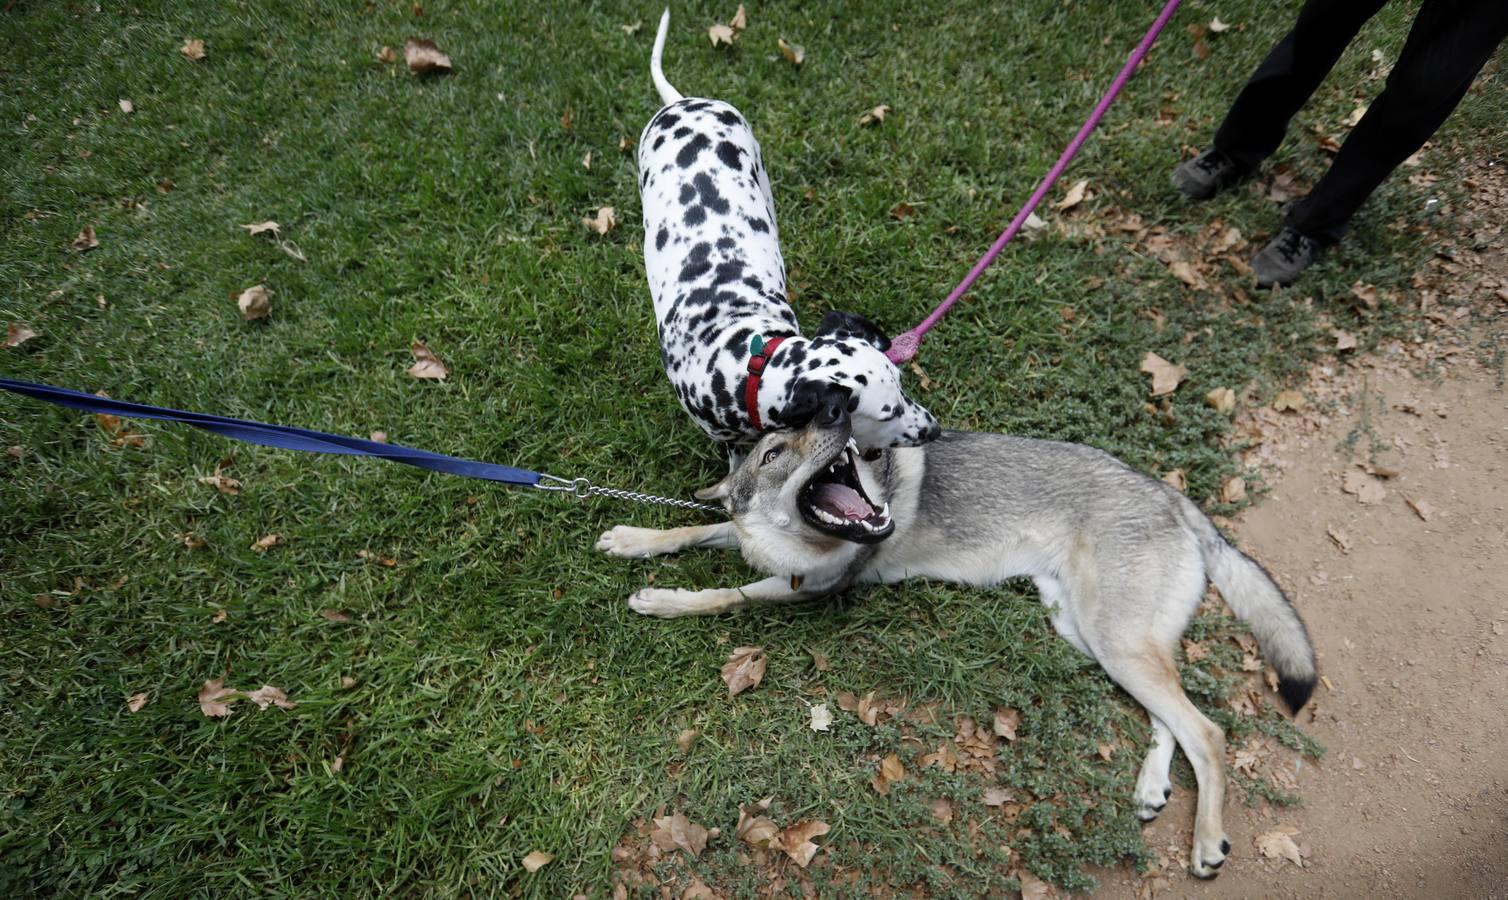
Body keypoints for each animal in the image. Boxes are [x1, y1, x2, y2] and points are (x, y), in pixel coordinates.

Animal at [594, 397, 1314, 874]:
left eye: (797, 439)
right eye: (774, 450)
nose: (835, 416)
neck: (798, 542)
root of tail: (1175, 498)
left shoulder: (808, 588)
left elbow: (723, 595)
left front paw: (661, 599)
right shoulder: (757, 549)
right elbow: (697, 527)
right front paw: (633, 540)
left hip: (1114, 639)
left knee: (1209, 732)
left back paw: (1207, 841)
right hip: (1091, 633)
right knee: (1172, 718)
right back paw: (1150, 789)